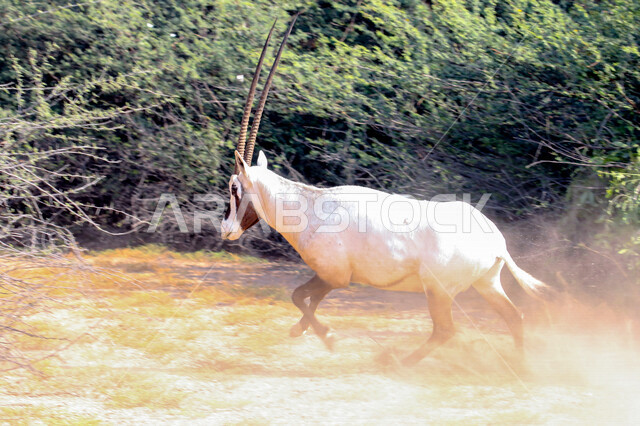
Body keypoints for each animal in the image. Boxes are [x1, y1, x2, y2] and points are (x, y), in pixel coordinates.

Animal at [221, 15, 547, 366]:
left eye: (234, 186)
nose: (225, 229)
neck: (310, 207)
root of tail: (496, 242)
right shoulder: (331, 277)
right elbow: (304, 299)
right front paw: (304, 330)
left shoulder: (334, 276)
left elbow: (298, 296)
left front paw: (327, 337)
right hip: (487, 285)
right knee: (514, 318)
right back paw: (521, 366)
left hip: (439, 291)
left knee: (446, 330)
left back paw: (399, 363)